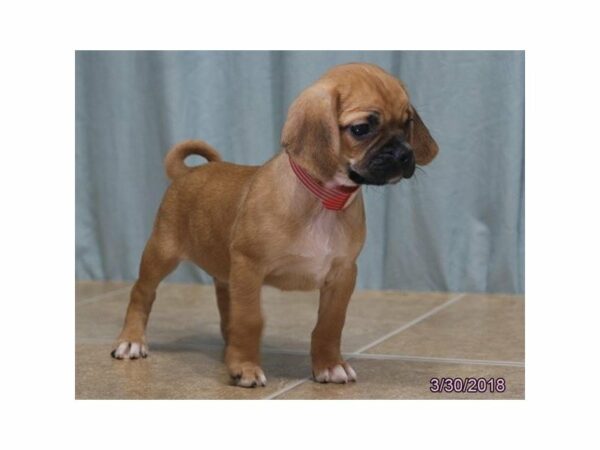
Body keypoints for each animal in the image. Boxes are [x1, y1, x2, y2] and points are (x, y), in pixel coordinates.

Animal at [112, 62, 438, 386]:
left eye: (408, 123)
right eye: (361, 129)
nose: (404, 154)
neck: (322, 200)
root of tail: (187, 173)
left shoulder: (342, 275)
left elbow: (330, 324)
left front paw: (329, 365)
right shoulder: (249, 267)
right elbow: (250, 319)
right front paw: (245, 366)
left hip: (223, 269)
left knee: (224, 300)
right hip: (161, 253)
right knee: (142, 293)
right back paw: (131, 340)